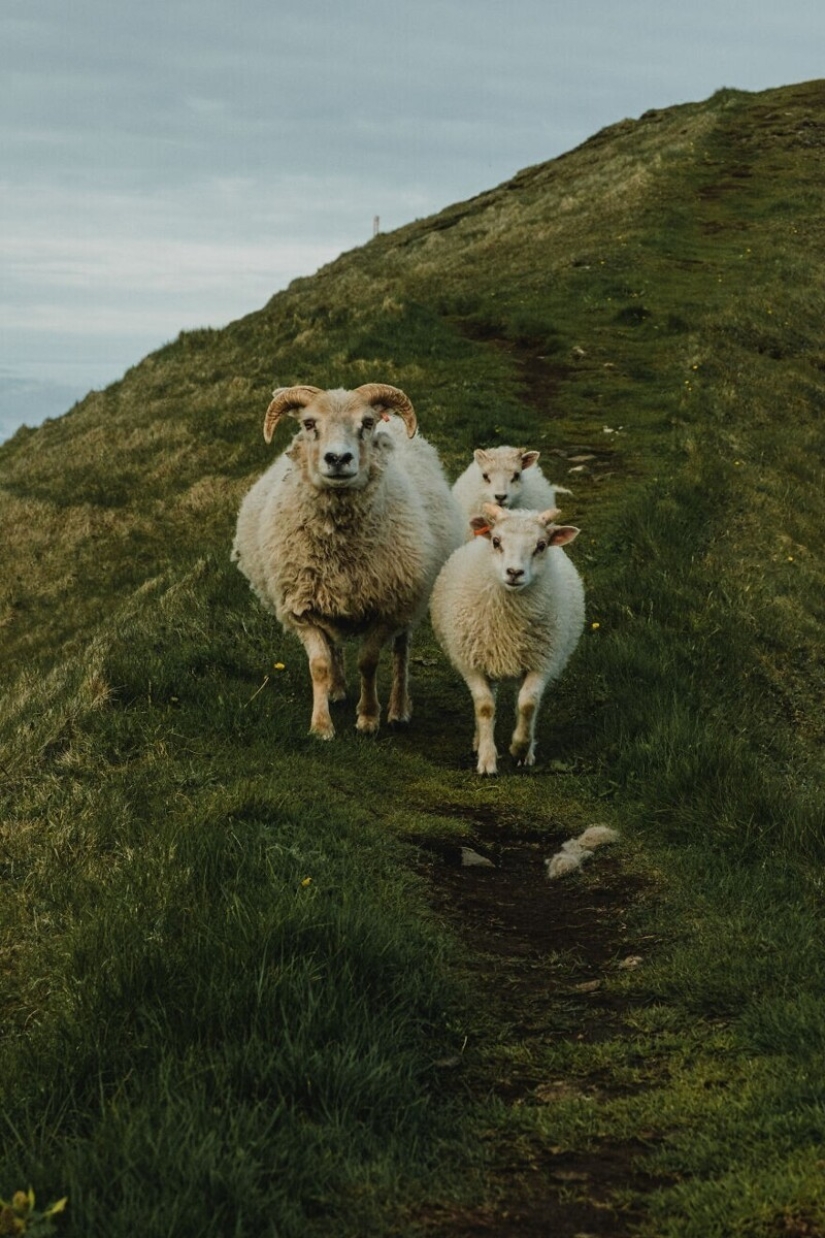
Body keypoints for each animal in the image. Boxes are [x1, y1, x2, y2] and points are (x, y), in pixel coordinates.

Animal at [229, 381, 463, 737]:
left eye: (366, 423)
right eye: (308, 423)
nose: (338, 458)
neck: (339, 545)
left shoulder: (387, 609)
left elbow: (368, 662)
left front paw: (368, 718)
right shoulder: (303, 607)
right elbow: (319, 664)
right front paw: (321, 725)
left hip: (410, 599)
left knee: (401, 651)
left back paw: (398, 708)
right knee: (335, 646)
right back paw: (337, 690)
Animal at [426, 502, 582, 772]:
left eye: (541, 545)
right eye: (496, 541)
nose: (514, 572)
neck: (509, 624)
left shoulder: (542, 661)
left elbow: (528, 704)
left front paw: (520, 747)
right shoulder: (471, 663)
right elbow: (485, 706)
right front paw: (487, 759)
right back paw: (479, 741)